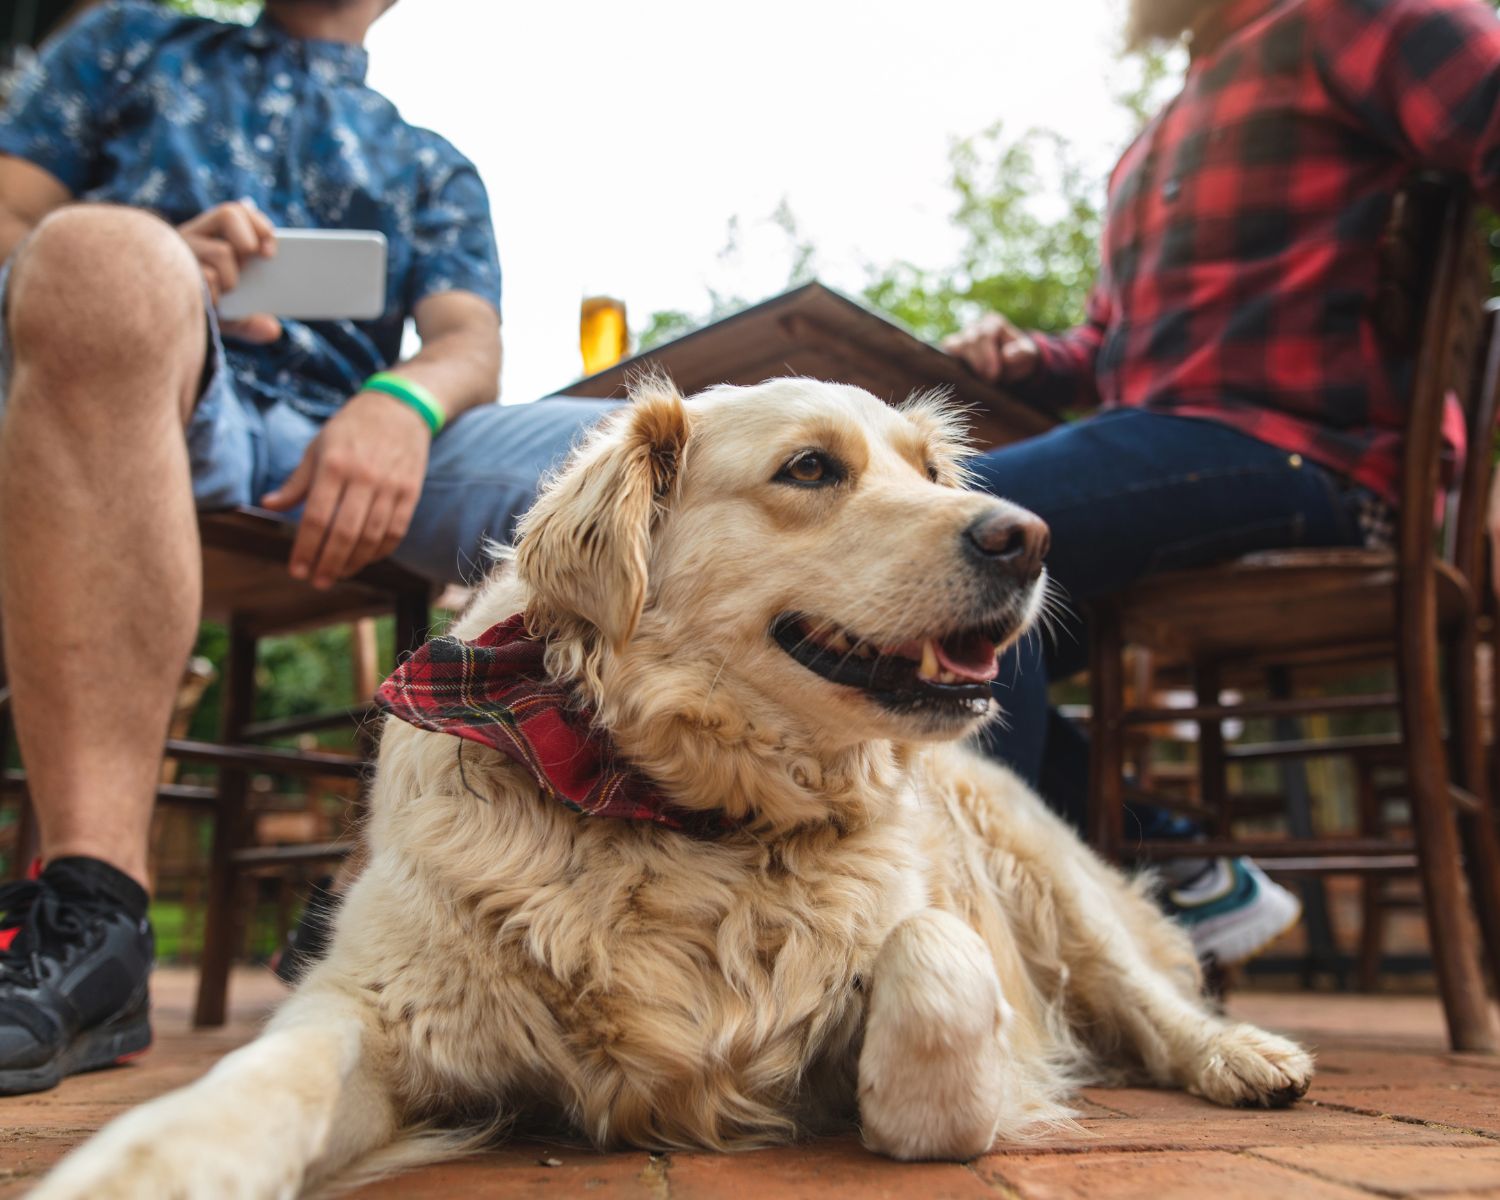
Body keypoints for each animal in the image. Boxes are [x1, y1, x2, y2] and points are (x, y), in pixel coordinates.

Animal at [29, 379, 1308, 1194]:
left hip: (1047, 876)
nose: (1031, 538)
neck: (684, 813)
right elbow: (257, 1081)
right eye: (810, 469)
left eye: (929, 470)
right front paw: (153, 1168)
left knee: (1148, 997)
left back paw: (1242, 1057)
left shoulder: (938, 937)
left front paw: (929, 1094)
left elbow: (934, 968)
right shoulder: (379, 1005)